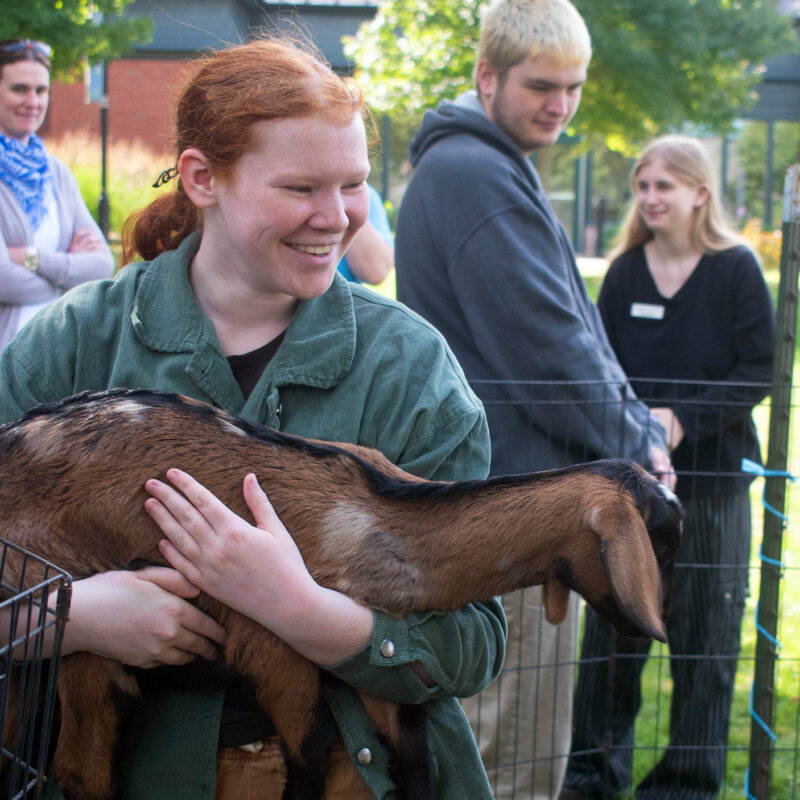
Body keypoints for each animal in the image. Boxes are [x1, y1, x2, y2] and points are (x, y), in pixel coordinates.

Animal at [1, 390, 688, 800]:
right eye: (664, 541)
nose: (654, 625)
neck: (372, 521)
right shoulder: (275, 653)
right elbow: (306, 760)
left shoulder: (379, 672)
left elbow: (414, 768)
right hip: (80, 632)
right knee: (78, 771)